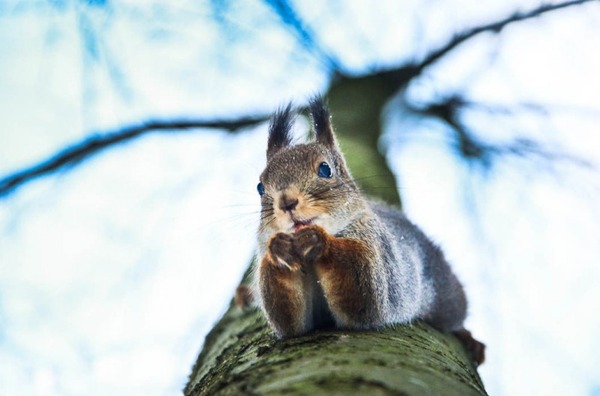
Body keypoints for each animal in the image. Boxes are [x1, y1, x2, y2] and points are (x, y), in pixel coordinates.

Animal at [246, 96, 486, 366]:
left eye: (325, 170)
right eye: (260, 187)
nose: (286, 202)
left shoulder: (379, 250)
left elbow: (366, 297)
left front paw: (319, 241)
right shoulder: (294, 321)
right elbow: (290, 323)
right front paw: (278, 250)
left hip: (445, 295)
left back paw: (467, 336)